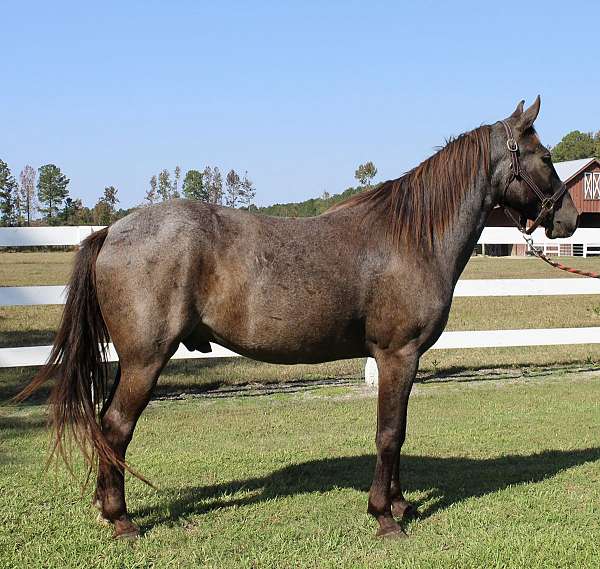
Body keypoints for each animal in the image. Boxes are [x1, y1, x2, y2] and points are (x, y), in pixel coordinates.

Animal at [16, 96, 580, 536]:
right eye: (545, 155)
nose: (569, 218)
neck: (413, 237)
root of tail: (112, 231)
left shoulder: (403, 360)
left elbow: (398, 432)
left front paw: (401, 505)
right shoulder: (397, 356)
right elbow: (389, 433)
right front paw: (385, 516)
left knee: (106, 428)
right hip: (144, 360)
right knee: (115, 428)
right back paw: (122, 521)